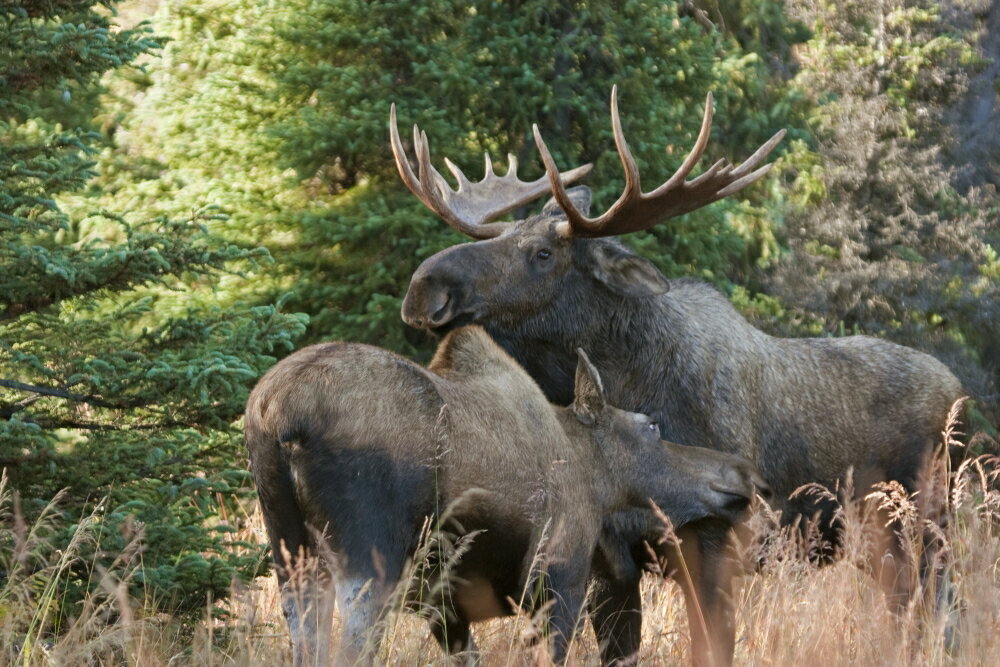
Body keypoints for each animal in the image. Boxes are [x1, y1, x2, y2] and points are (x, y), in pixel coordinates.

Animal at [244, 322, 764, 664]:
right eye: (651, 425)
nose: (743, 472)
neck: (592, 477)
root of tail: (277, 416)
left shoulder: (444, 605)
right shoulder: (559, 580)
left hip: (291, 551)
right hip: (369, 556)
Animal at [394, 88, 964, 667]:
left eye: (543, 253)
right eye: (509, 232)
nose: (424, 286)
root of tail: (956, 389)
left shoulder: (717, 545)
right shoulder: (608, 562)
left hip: (926, 530)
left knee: (941, 616)